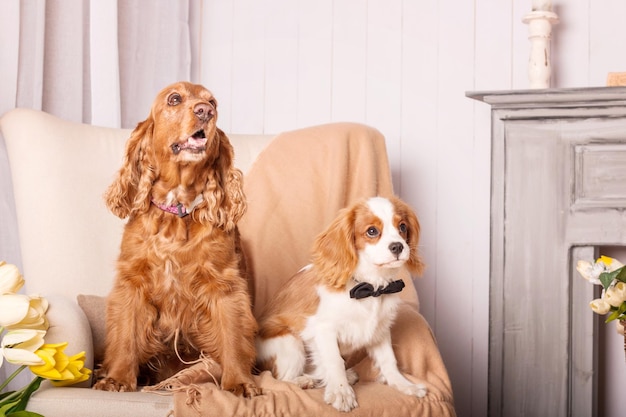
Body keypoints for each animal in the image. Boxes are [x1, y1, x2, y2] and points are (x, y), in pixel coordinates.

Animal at [256, 197, 426, 412]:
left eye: (402, 227)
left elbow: (389, 360)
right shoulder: (324, 330)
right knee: (279, 377)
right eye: (372, 231)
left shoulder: (380, 330)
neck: (370, 286)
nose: (398, 246)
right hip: (289, 342)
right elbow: (334, 360)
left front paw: (404, 385)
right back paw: (303, 381)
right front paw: (340, 392)